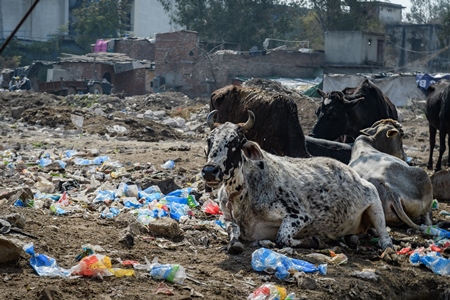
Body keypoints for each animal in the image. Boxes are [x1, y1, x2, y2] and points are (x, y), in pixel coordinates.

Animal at [201, 109, 394, 256]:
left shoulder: (299, 215)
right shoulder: (226, 217)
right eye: (209, 140)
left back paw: (388, 250)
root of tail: (353, 173)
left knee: (384, 235)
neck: (244, 193)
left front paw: (314, 240)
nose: (210, 171)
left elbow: (282, 238)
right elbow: (233, 230)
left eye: (235, 141)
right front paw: (234, 244)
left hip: (374, 201)